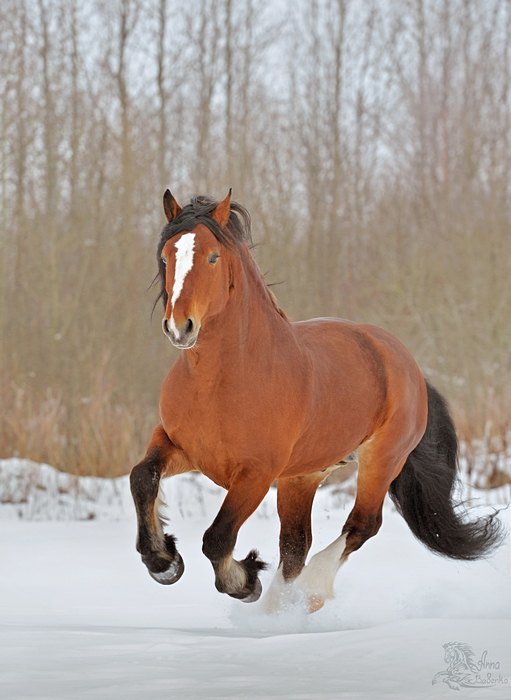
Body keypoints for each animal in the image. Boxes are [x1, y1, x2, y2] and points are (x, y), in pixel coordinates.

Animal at [130, 189, 506, 608]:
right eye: (167, 257)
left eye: (212, 257)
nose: (180, 327)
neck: (221, 382)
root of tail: (405, 362)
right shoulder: (181, 446)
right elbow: (142, 477)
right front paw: (163, 561)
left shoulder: (256, 474)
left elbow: (217, 538)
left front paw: (245, 581)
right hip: (303, 477)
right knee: (296, 545)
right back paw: (279, 610)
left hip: (382, 459)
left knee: (361, 525)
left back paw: (307, 594)